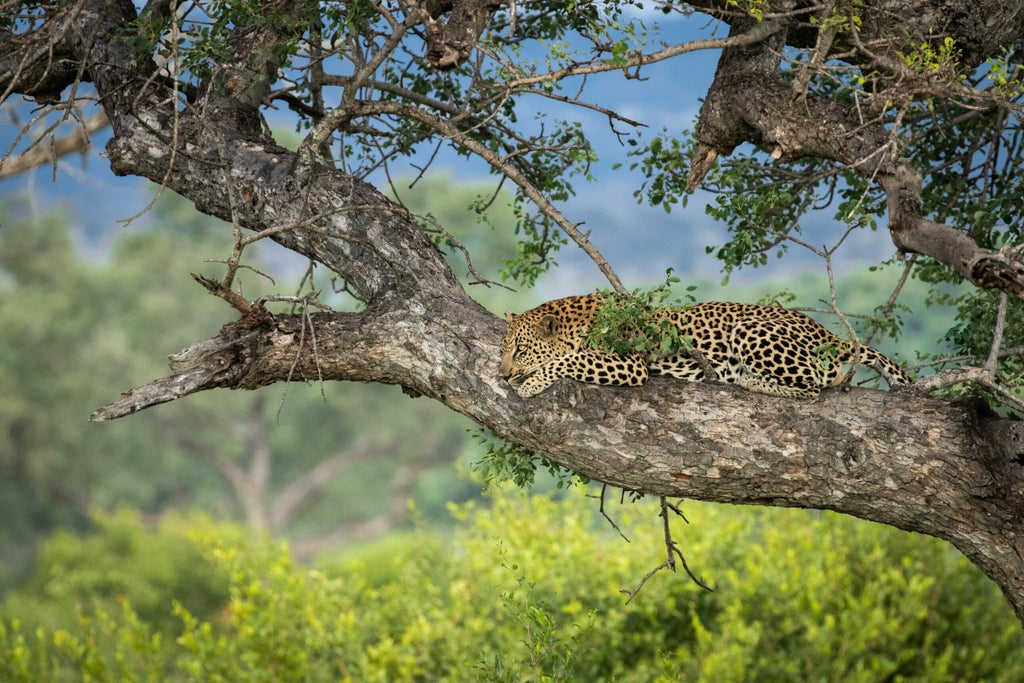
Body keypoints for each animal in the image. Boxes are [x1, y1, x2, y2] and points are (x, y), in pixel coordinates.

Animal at [499, 290, 909, 397]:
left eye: (521, 350)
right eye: (503, 350)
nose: (501, 375)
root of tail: (827, 334)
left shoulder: (629, 363)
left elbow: (568, 360)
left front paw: (530, 384)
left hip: (750, 329)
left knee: (813, 385)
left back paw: (748, 380)